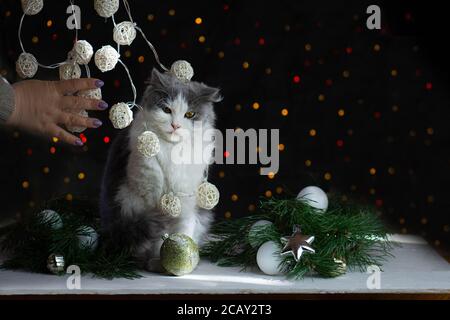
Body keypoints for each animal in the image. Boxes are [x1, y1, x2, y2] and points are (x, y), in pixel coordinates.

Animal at [100, 69, 223, 272]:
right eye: (167, 110)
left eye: (190, 114)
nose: (175, 125)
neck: (172, 151)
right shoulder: (146, 197)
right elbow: (160, 238)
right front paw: (160, 262)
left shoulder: (187, 203)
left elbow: (181, 234)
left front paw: (177, 260)